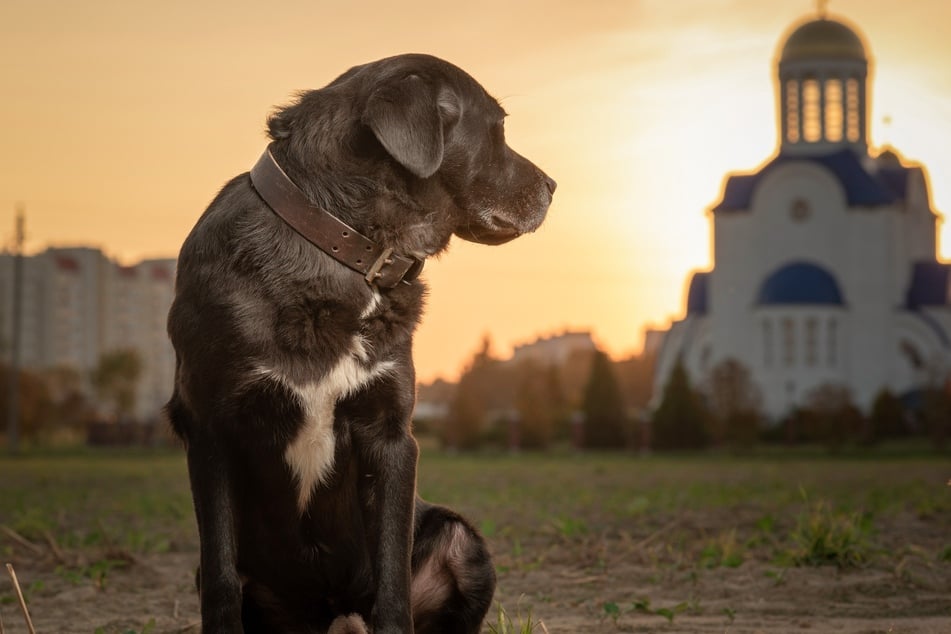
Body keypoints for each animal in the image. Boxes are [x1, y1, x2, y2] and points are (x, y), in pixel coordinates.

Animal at [166, 54, 556, 632]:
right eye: (498, 129)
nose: (554, 186)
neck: (339, 245)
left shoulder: (390, 436)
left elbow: (393, 577)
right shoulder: (211, 429)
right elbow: (220, 580)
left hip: (461, 539)